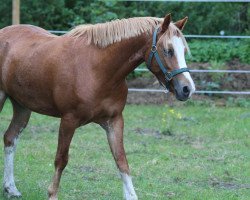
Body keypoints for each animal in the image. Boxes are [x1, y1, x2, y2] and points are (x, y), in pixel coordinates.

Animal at [0, 14, 195, 200]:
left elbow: (121, 160)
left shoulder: (114, 121)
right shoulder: (68, 120)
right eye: (168, 50)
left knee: (10, 138)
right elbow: (61, 159)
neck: (97, 70)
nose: (187, 89)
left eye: (184, 51)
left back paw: (11, 188)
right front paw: (52, 194)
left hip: (22, 106)